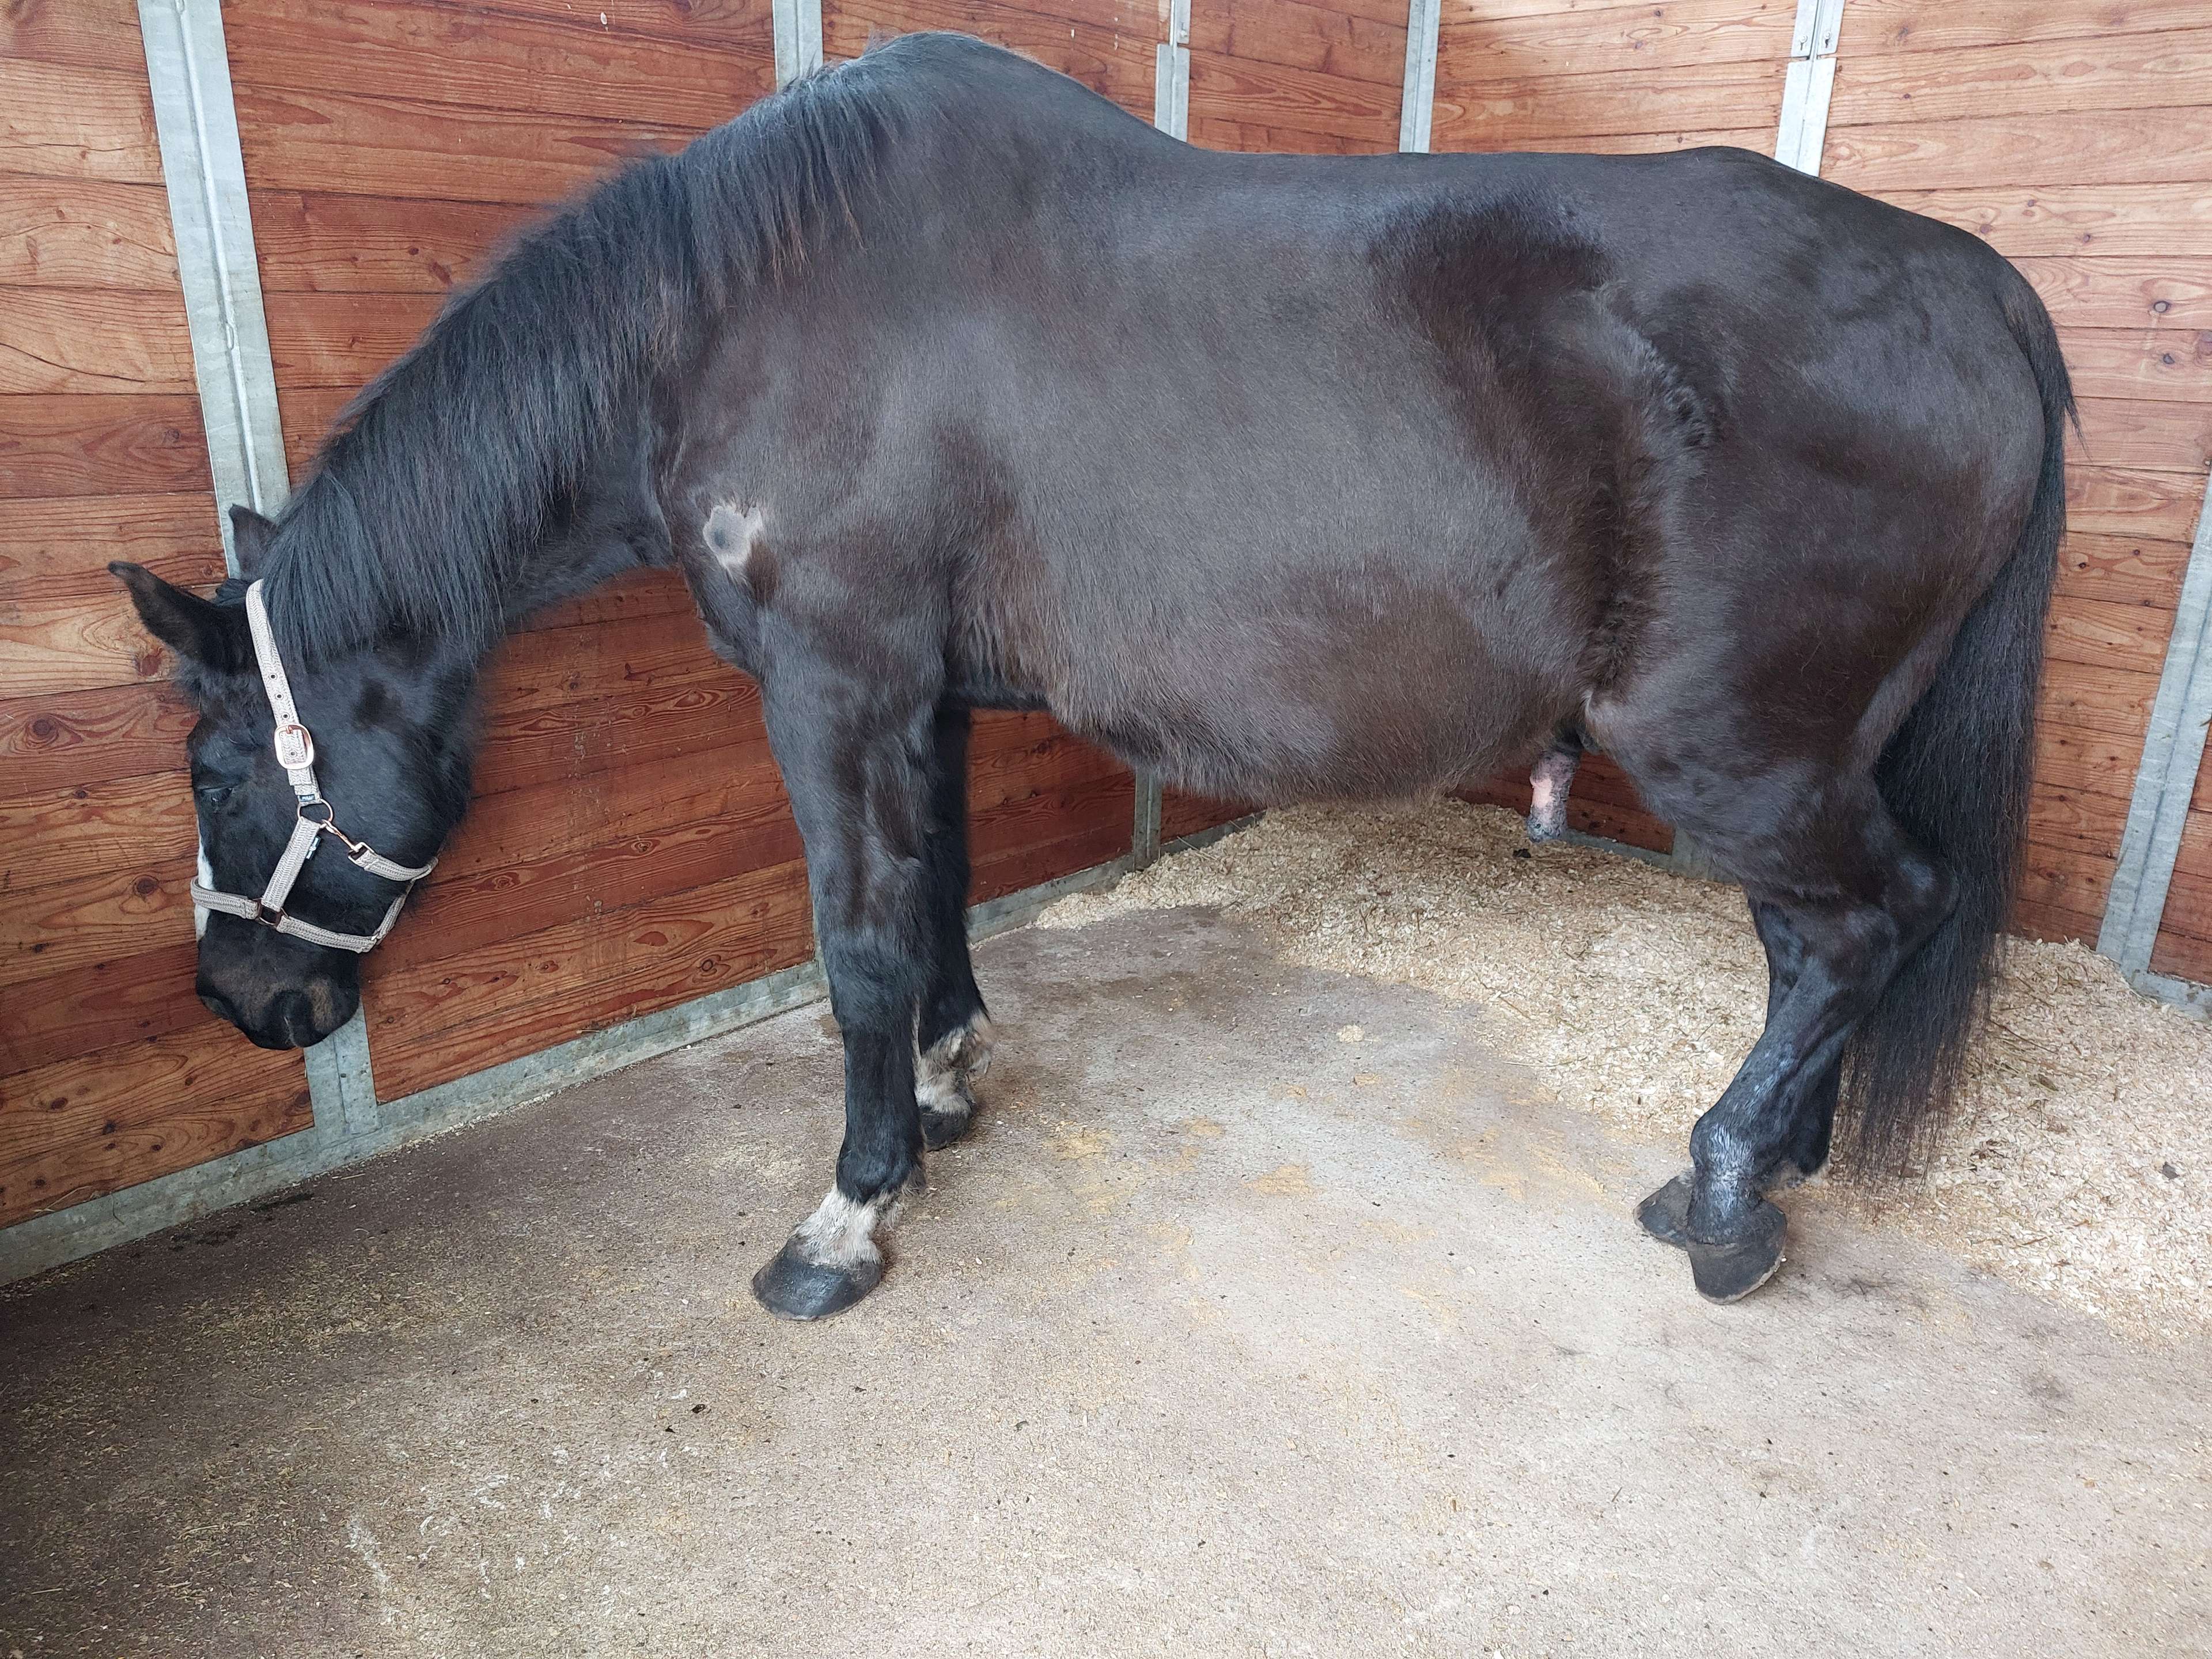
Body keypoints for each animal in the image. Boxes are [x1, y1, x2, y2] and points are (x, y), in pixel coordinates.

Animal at [113, 31, 2072, 1317]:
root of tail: (1972, 282)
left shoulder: (831, 680)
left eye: (217, 774)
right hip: (1804, 750)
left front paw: (849, 1212)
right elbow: (941, 896)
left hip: (1732, 746)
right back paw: (1757, 1162)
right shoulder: (919, 692)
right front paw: (944, 1089)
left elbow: (855, 939)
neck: (743, 310)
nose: (243, 1005)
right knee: (1822, 945)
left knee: (1862, 924)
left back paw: (1731, 1202)